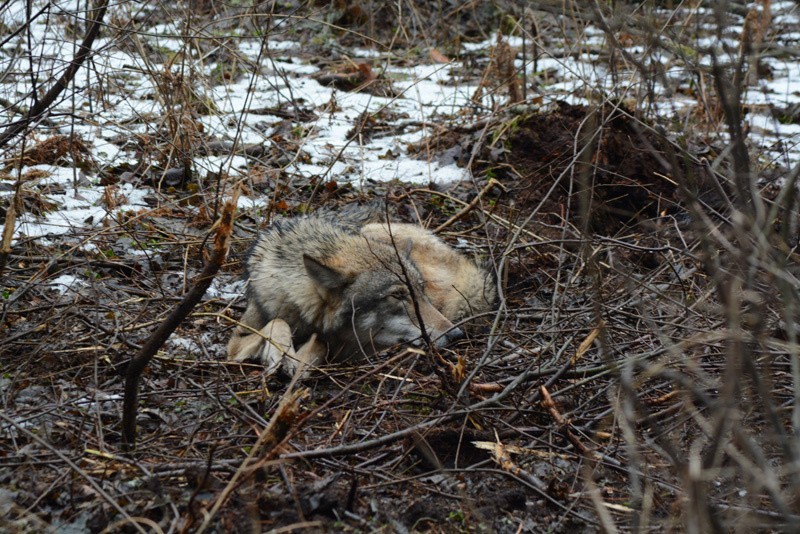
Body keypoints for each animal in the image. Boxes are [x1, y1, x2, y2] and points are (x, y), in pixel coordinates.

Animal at [225, 209, 496, 376]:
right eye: (398, 296)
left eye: (418, 291)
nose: (457, 335)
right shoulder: (234, 344)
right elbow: (277, 322)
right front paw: (281, 354)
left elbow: (320, 343)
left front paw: (300, 360)